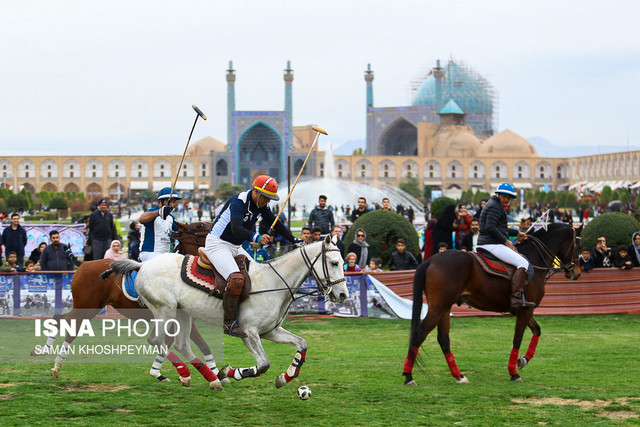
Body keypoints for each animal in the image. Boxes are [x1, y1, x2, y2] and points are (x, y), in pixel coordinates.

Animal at [42, 222, 218, 382]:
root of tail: (84, 263)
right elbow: (195, 344)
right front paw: (214, 375)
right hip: (87, 307)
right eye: (201, 225)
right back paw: (53, 361)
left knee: (60, 320)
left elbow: (179, 344)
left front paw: (161, 373)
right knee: (66, 326)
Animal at [110, 236, 350, 390]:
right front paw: (229, 372)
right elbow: (263, 364)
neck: (274, 282)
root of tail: (141, 266)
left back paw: (207, 378)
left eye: (342, 262)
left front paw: (286, 376)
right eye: (334, 262)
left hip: (182, 313)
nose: (343, 295)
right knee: (157, 340)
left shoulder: (269, 331)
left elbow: (301, 344)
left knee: (181, 344)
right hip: (164, 310)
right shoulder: (250, 332)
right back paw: (196, 374)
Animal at [402, 222, 584, 386]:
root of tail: (431, 260)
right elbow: (517, 339)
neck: (534, 259)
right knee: (419, 335)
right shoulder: (526, 309)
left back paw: (459, 376)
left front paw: (523, 360)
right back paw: (409, 376)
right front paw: (514, 372)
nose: (576, 273)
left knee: (443, 340)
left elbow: (537, 330)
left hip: (445, 308)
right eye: (578, 246)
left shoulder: (522, 309)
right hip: (438, 309)